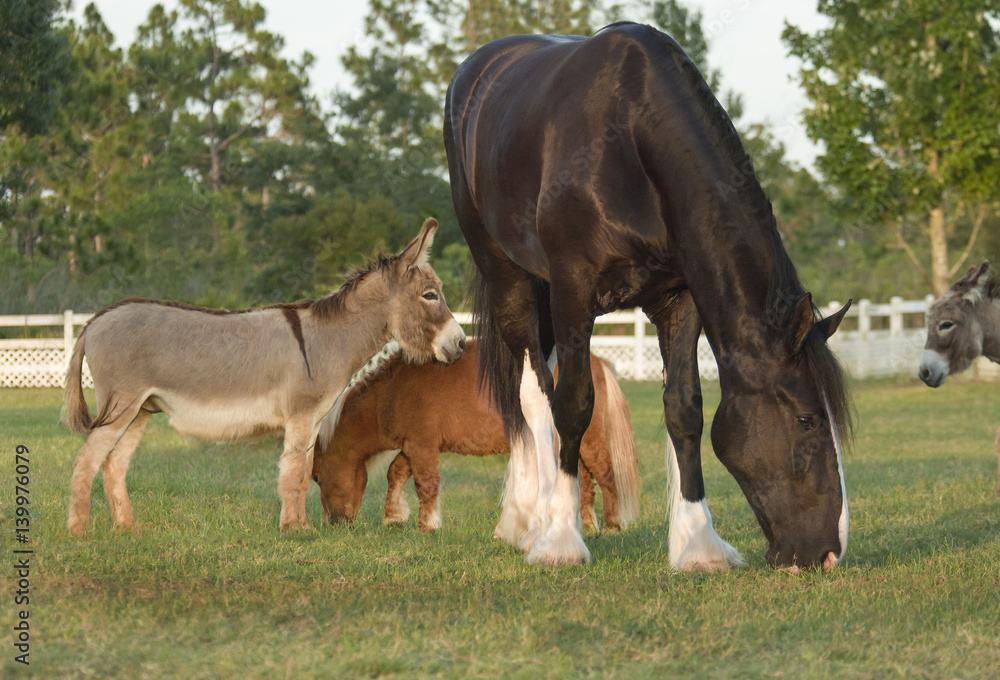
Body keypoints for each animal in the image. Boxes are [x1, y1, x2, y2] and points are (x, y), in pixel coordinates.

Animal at [62, 218, 466, 534]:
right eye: (430, 296)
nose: (461, 344)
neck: (329, 338)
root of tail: (95, 320)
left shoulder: (312, 420)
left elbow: (302, 473)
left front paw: (302, 527)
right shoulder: (300, 417)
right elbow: (292, 473)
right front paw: (293, 531)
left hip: (141, 409)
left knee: (114, 464)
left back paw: (127, 529)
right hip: (122, 405)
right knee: (86, 461)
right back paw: (79, 531)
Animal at [310, 339, 640, 533]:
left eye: (316, 477)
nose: (333, 524)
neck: (393, 390)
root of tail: (597, 363)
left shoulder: (422, 445)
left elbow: (425, 483)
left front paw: (427, 525)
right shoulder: (412, 444)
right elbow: (397, 473)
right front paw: (394, 516)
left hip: (590, 442)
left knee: (606, 476)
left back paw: (613, 526)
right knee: (586, 483)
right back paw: (586, 525)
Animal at [444, 22, 853, 570]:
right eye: (807, 420)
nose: (830, 552)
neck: (630, 140)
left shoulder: (679, 301)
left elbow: (685, 408)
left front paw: (698, 542)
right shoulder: (573, 292)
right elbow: (573, 404)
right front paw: (562, 540)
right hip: (508, 275)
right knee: (532, 394)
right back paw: (535, 523)